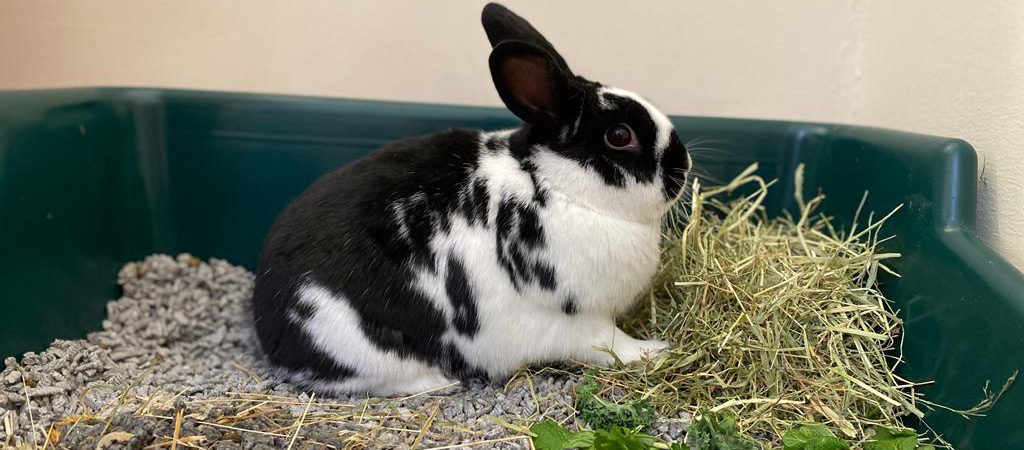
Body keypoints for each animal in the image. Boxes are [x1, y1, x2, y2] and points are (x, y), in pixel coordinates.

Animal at [251, 2, 692, 397]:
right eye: (619, 135)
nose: (684, 166)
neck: (553, 184)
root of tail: (267, 325)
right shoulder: (579, 320)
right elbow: (611, 344)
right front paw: (654, 351)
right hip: (360, 345)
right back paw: (439, 382)